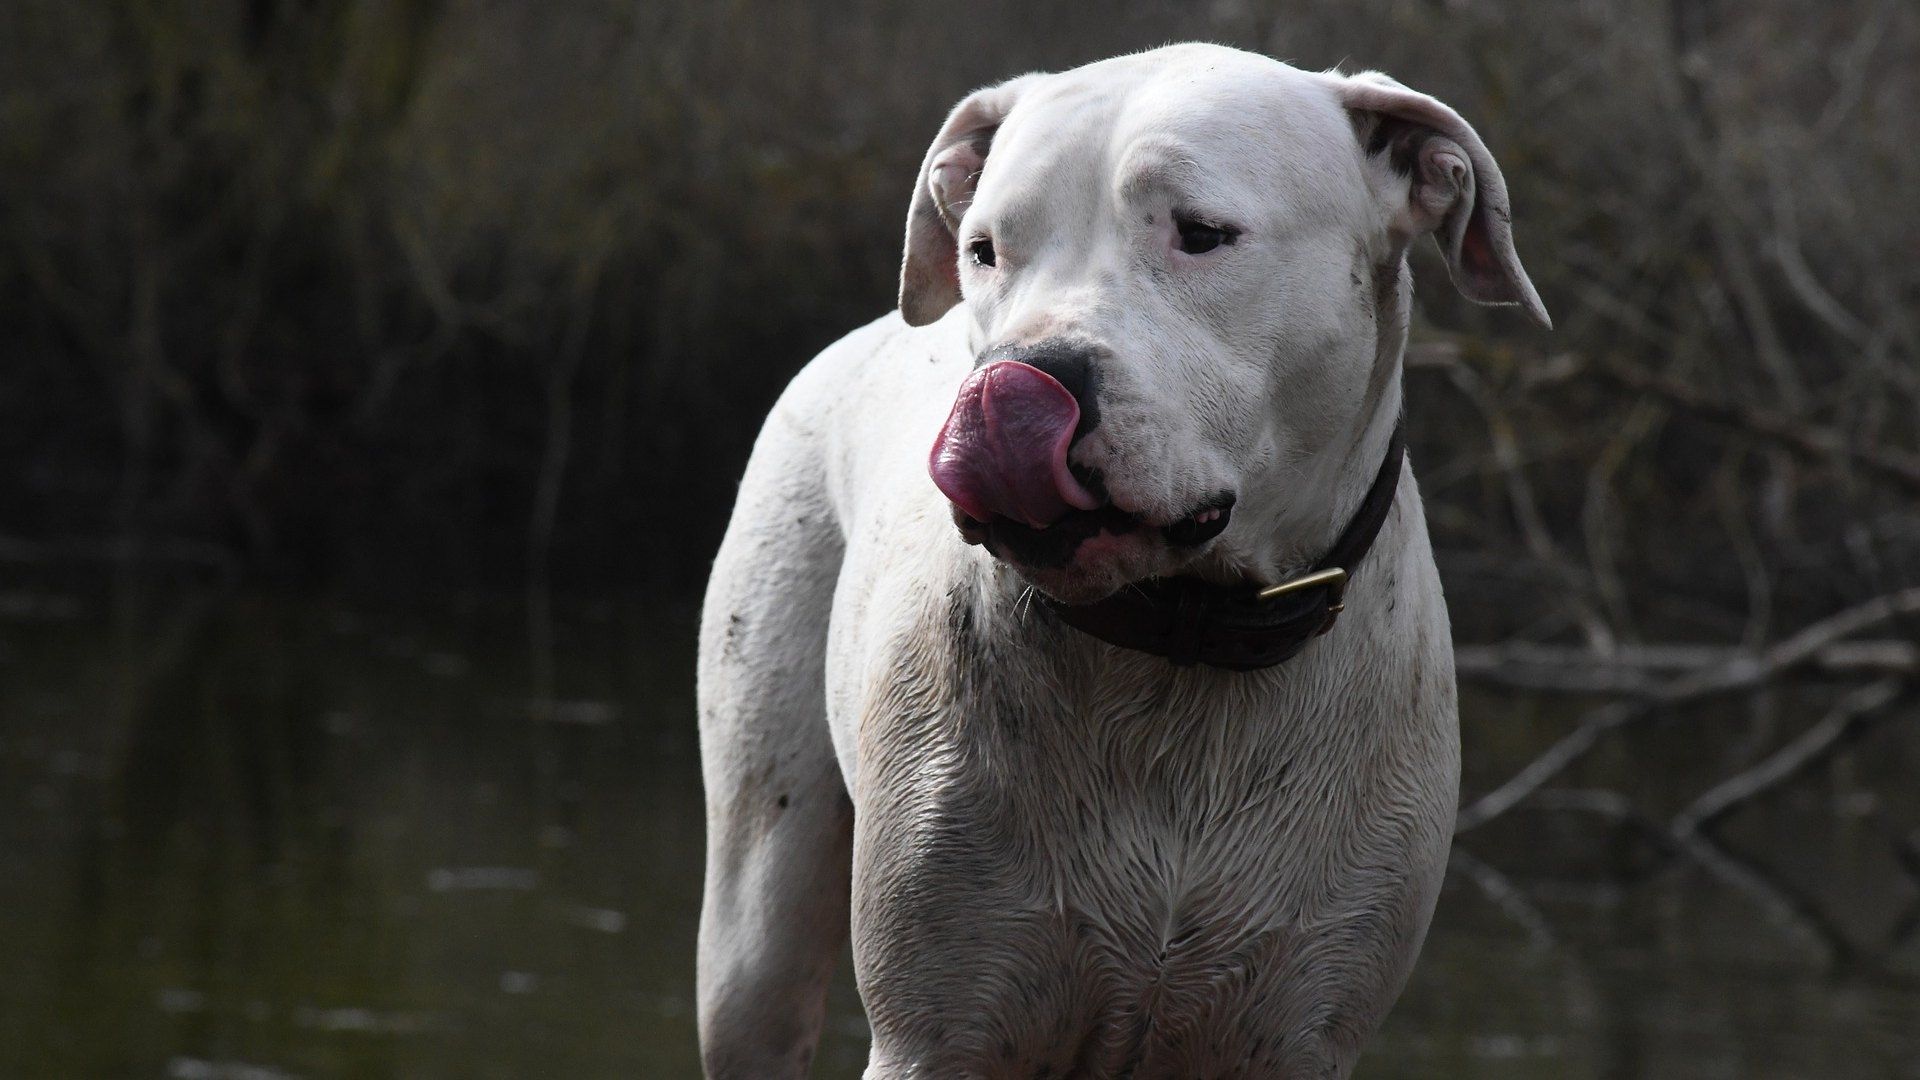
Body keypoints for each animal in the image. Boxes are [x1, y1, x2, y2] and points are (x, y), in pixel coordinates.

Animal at [698, 44, 1551, 1076]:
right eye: (985, 250)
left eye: (1203, 234)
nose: (1016, 386)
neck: (1183, 646)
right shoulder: (934, 1031)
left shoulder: (1302, 1026)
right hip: (757, 913)